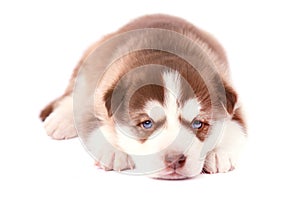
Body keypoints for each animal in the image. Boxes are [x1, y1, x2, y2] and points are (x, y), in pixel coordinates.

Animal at [39, 14, 246, 180]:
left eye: (198, 124)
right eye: (147, 123)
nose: (174, 160)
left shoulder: (233, 101)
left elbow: (236, 127)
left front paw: (219, 153)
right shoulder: (98, 91)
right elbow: (91, 120)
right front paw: (113, 150)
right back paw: (61, 119)